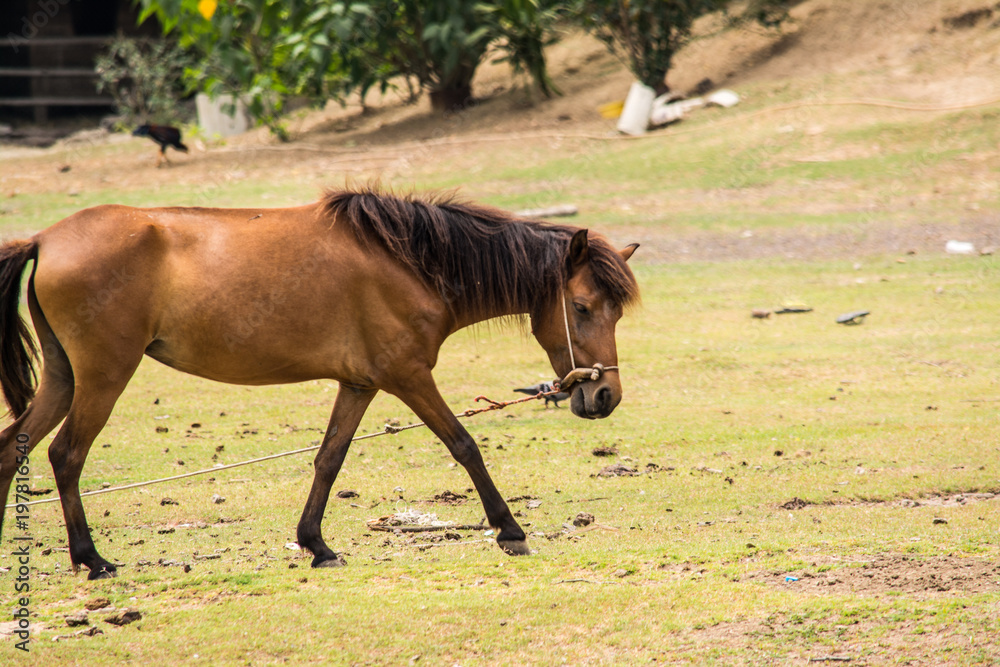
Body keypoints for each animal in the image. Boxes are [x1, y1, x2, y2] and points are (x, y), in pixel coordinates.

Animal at [0, 187, 639, 579]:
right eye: (582, 308)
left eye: (616, 312)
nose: (604, 396)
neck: (408, 262)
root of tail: (46, 238)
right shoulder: (408, 376)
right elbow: (465, 445)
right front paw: (509, 529)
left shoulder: (359, 385)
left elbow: (329, 459)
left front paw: (316, 544)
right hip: (103, 377)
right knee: (65, 455)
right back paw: (91, 558)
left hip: (63, 379)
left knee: (14, 450)